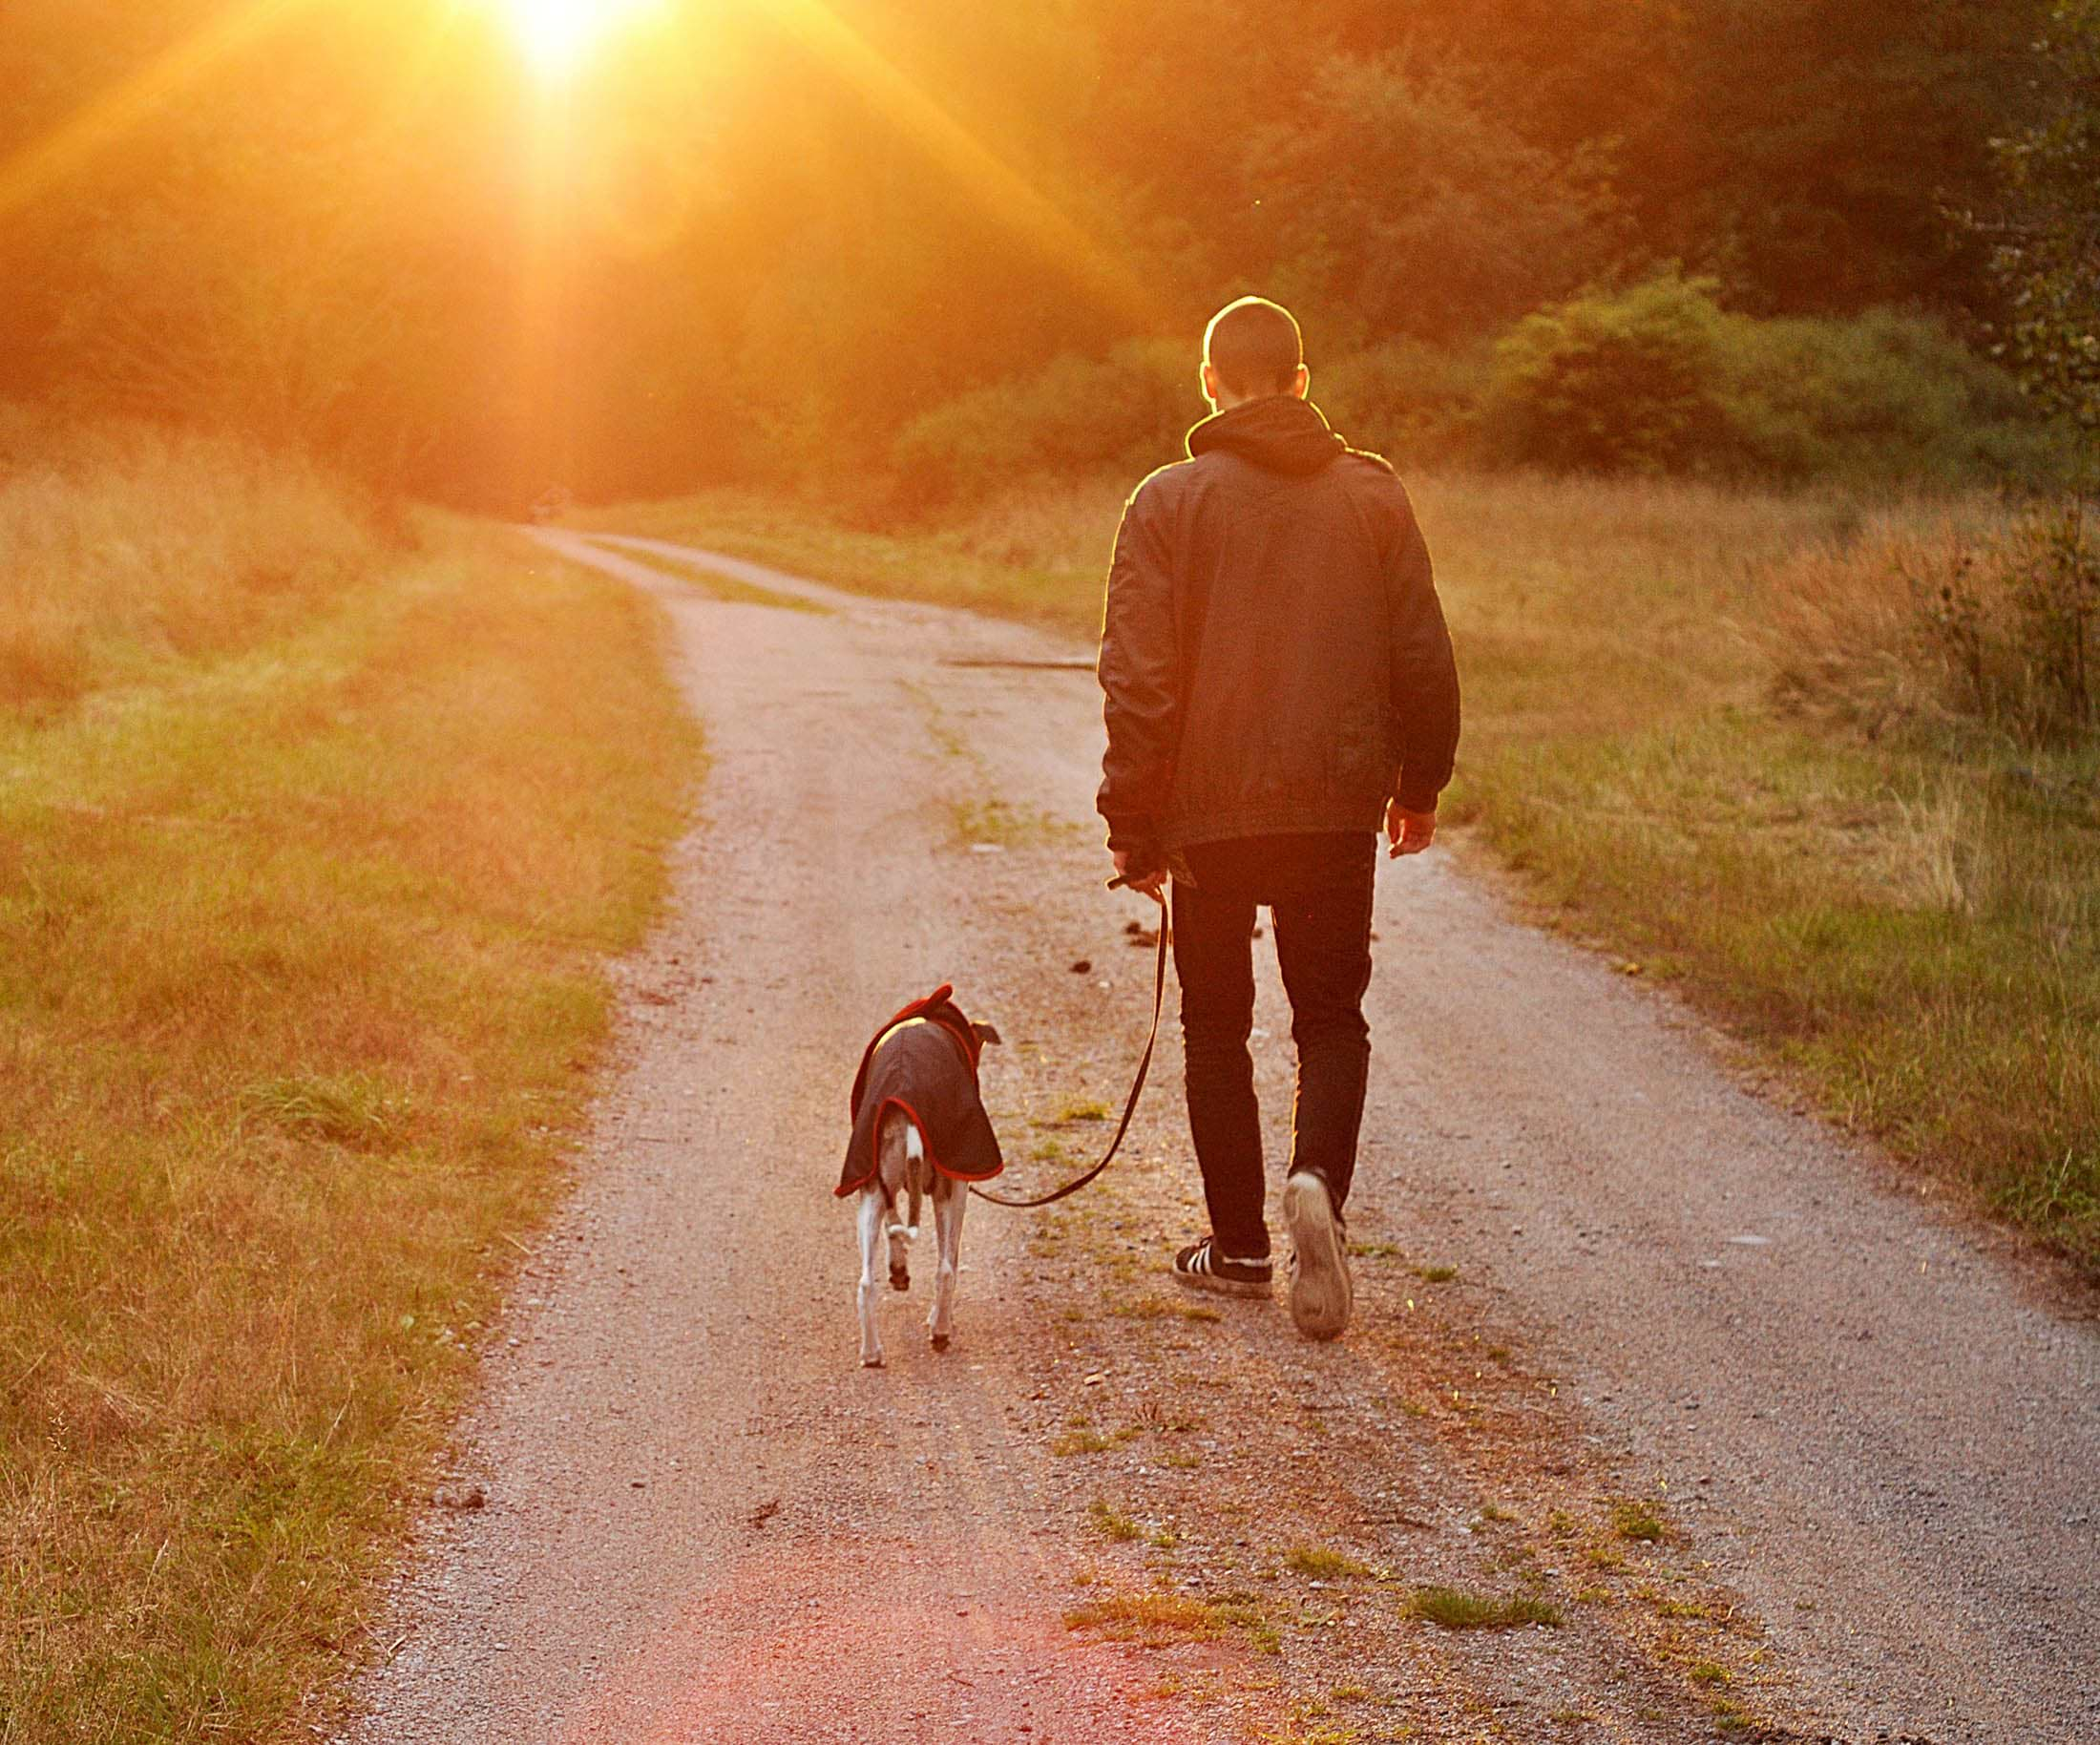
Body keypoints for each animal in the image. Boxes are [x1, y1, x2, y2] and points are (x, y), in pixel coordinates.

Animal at [831, 982, 1003, 1360]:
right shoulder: (958, 1188)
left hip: (870, 1190)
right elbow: (946, 1257)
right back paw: (940, 1329)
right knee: (946, 1270)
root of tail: (905, 1101)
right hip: (949, 1191)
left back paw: (871, 1353)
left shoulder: (883, 1185)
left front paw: (898, 1269)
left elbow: (893, 1228)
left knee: (866, 1282)